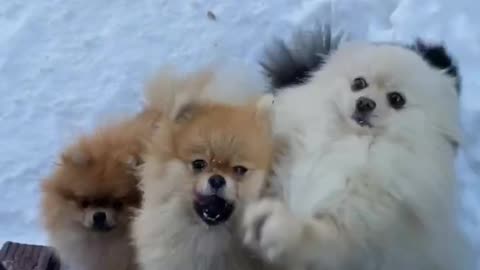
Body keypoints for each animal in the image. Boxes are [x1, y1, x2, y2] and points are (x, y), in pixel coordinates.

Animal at [242, 25, 474, 270]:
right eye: (358, 83)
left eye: (396, 99)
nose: (364, 103)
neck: (348, 140)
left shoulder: (362, 227)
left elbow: (323, 238)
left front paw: (278, 227)